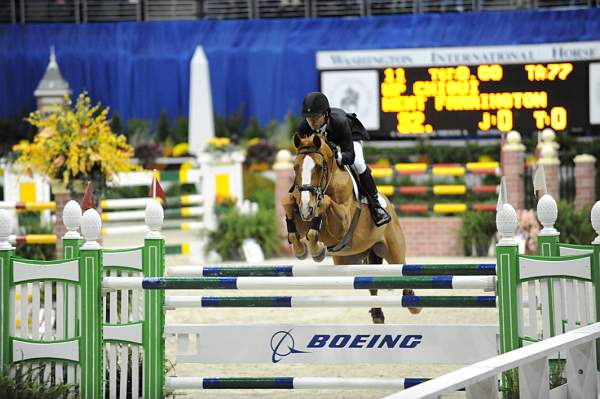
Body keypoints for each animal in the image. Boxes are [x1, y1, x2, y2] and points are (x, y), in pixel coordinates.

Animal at [278, 133, 420, 324]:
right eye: (295, 167)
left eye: (319, 167)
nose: (307, 208)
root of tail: (390, 205)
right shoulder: (302, 217)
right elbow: (289, 207)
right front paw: (305, 250)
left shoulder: (342, 223)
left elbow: (325, 203)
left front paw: (317, 250)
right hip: (350, 260)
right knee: (370, 283)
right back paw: (377, 315)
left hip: (393, 251)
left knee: (402, 271)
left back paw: (413, 304)